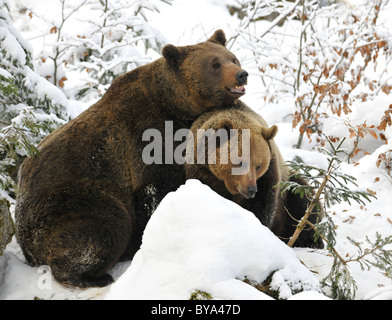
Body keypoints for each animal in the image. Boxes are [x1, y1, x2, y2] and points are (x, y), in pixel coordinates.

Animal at [185, 106, 324, 249]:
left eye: (258, 165)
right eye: (240, 162)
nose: (251, 189)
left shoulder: (267, 177)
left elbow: (260, 207)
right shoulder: (203, 172)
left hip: (289, 191)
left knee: (304, 201)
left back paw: (311, 241)